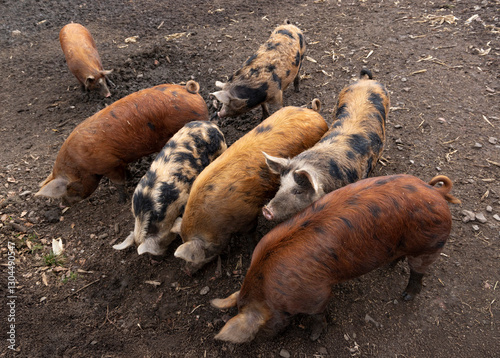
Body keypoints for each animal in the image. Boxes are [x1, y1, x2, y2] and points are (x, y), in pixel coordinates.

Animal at [35, 80, 207, 206]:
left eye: (69, 188)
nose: (63, 204)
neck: (80, 165)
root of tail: (189, 90)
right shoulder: (120, 160)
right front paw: (130, 177)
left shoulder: (109, 164)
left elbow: (118, 182)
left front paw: (120, 201)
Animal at [172, 102, 328, 276]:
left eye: (201, 252)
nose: (186, 271)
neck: (215, 220)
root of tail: (313, 113)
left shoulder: (248, 214)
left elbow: (251, 234)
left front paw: (252, 247)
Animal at [211, 175, 460, 342]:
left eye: (264, 326)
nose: (266, 339)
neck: (269, 291)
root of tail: (436, 193)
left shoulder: (317, 294)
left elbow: (318, 316)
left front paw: (313, 338)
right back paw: (388, 267)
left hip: (431, 244)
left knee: (418, 272)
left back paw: (406, 296)